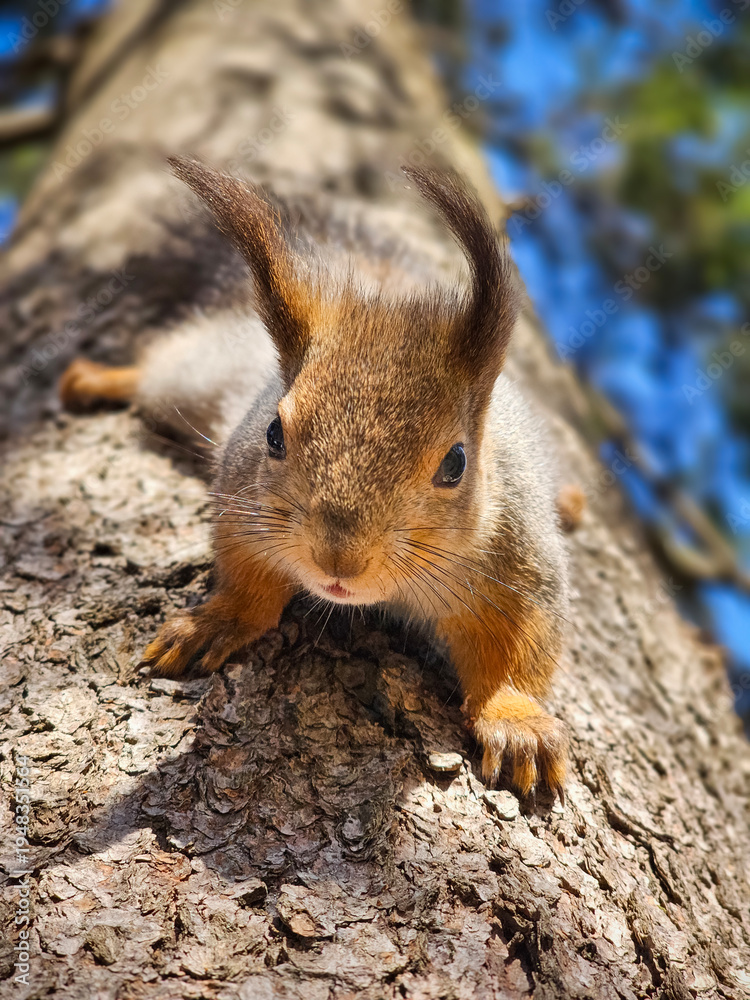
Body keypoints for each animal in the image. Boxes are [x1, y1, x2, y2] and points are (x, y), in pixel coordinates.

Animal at [60, 157, 574, 800]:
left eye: (456, 462)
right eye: (273, 433)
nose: (338, 561)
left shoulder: (518, 560)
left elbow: (522, 647)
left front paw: (518, 722)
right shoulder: (243, 502)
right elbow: (248, 579)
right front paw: (216, 622)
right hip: (191, 380)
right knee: (158, 368)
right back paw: (98, 378)